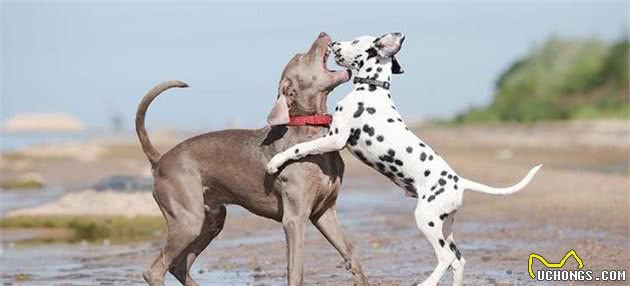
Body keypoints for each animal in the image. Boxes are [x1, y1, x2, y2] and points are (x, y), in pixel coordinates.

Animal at [136, 32, 368, 284]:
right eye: (301, 56)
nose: (323, 33)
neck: (311, 131)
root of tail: (160, 159)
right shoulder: (294, 219)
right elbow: (296, 270)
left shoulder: (324, 212)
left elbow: (351, 251)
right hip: (188, 219)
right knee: (155, 269)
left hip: (212, 219)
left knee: (179, 265)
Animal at [266, 31, 544, 286]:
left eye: (355, 41)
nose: (333, 42)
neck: (372, 88)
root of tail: (460, 182)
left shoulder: (336, 138)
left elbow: (301, 148)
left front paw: (275, 161)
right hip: (445, 225)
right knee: (458, 260)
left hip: (426, 219)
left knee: (445, 257)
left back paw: (426, 283)